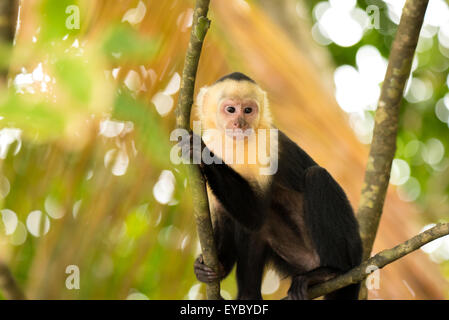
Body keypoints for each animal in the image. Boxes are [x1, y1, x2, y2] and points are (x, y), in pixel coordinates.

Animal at [185, 72, 360, 300]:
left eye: (248, 110)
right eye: (231, 109)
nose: (240, 123)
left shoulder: (265, 144)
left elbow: (256, 213)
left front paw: (200, 151)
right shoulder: (214, 140)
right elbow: (227, 216)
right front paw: (217, 266)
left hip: (348, 245)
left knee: (316, 177)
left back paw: (331, 272)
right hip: (297, 259)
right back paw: (249, 296)